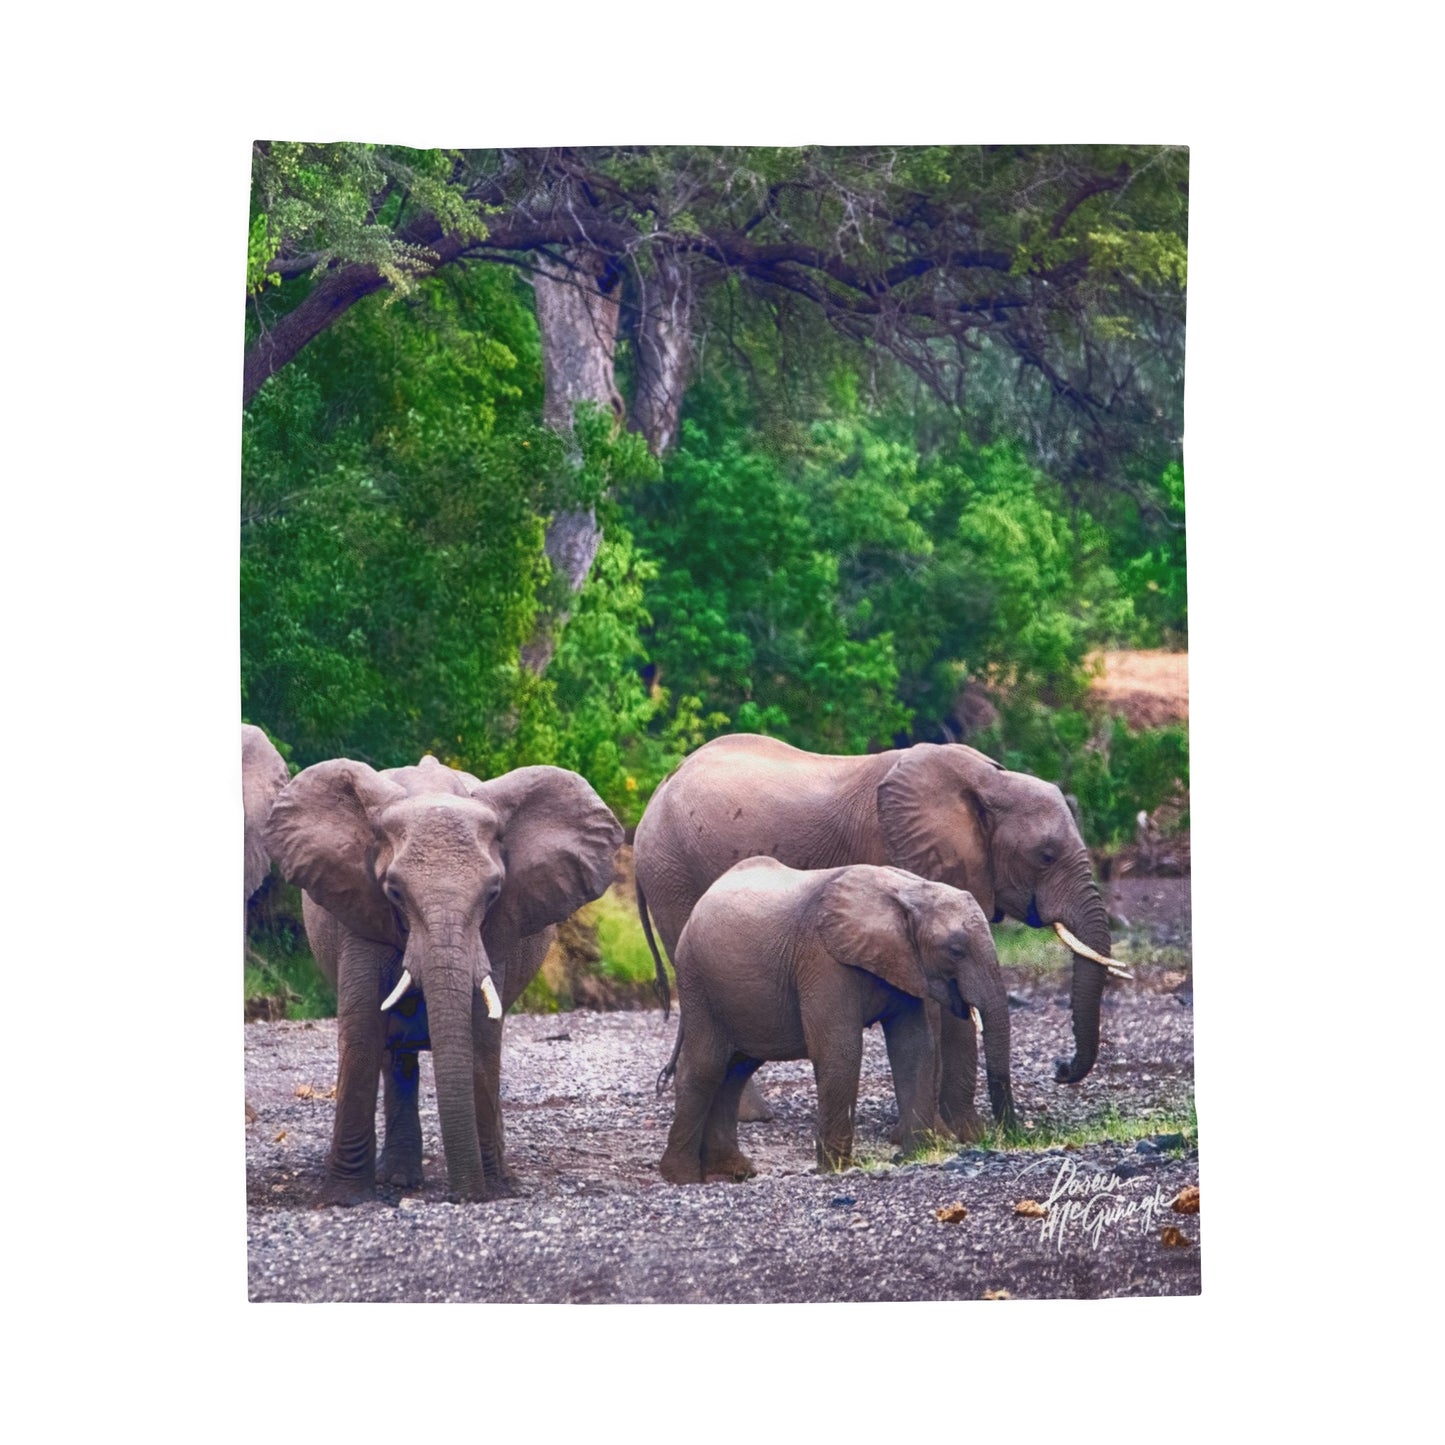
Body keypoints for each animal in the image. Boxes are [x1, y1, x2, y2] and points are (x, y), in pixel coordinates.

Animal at [265, 753, 622, 1204]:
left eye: (493, 893)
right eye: (395, 892)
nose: (465, 1197)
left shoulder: (495, 933)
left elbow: (481, 1035)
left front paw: (490, 1187)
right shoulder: (360, 910)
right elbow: (362, 1030)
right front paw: (345, 1199)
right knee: (396, 1056)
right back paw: (399, 1179)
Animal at [635, 734, 1124, 1143]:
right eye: (1046, 855)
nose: (1061, 1068)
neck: (988, 781)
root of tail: (655, 794)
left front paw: (961, 1133)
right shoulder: (894, 852)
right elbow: (933, 1005)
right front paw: (947, 1134)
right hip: (673, 875)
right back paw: (751, 1116)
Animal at [657, 858, 1014, 1182]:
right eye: (955, 951)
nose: (1012, 1136)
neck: (908, 891)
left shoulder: (903, 962)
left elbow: (914, 1047)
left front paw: (917, 1155)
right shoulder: (823, 958)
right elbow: (840, 1050)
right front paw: (837, 1169)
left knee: (737, 1069)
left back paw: (733, 1172)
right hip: (697, 980)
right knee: (706, 1066)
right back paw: (683, 1177)